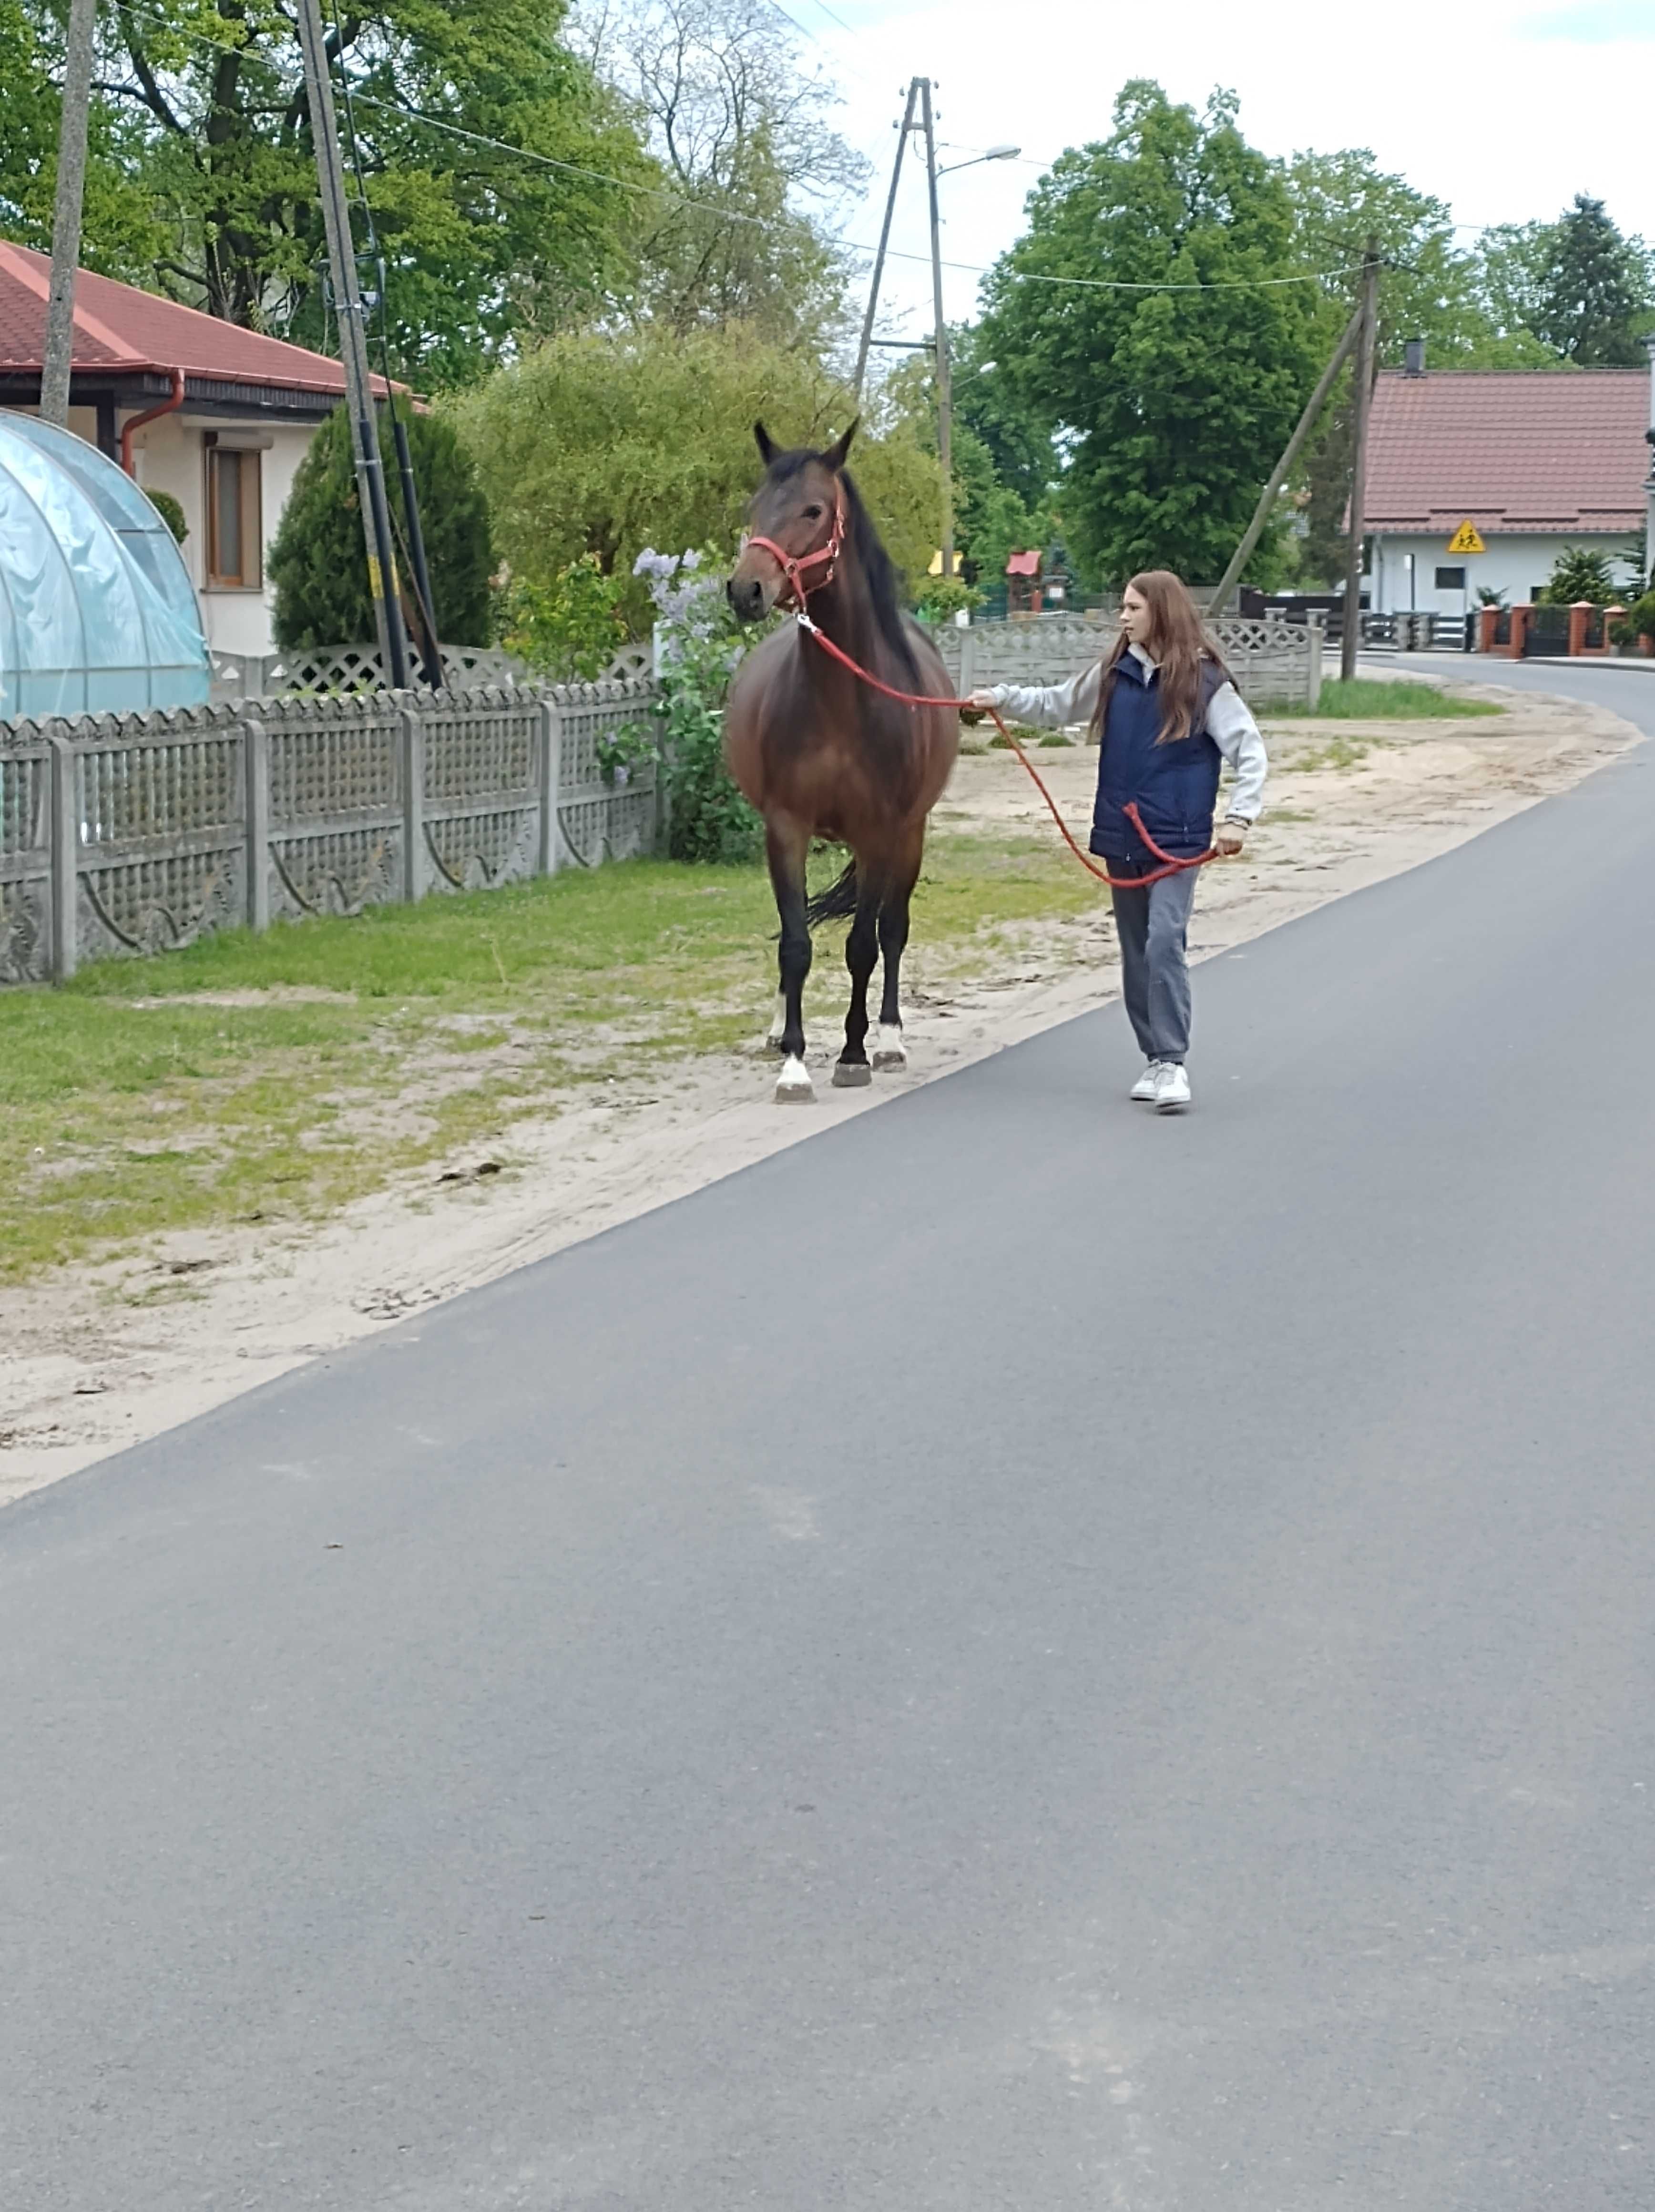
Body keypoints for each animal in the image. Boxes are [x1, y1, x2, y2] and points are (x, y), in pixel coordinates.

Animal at [721, 418, 956, 1101]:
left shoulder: (880, 832)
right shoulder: (785, 829)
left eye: (813, 509)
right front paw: (794, 1061)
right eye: (755, 506)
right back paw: (781, 1029)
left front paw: (853, 1053)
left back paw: (890, 1038)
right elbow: (795, 942)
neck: (842, 704)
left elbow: (862, 945)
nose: (745, 589)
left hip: (909, 837)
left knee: (892, 929)